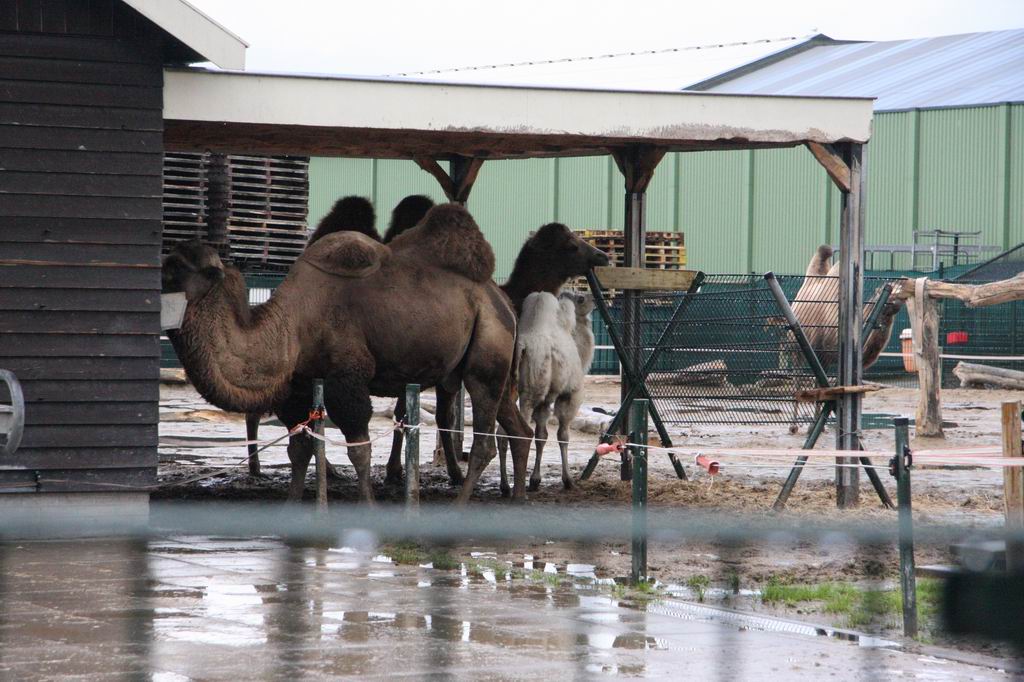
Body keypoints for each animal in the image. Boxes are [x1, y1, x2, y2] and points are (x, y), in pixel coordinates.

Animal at [163, 203, 533, 503]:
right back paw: (517, 499)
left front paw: (367, 505)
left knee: (485, 440)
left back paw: (460, 507)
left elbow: (359, 450)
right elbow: (299, 449)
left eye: (176, 267)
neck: (293, 326)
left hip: (487, 356)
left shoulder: (347, 378)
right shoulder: (298, 386)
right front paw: (292, 507)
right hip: (490, 364)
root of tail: (503, 301)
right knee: (519, 429)